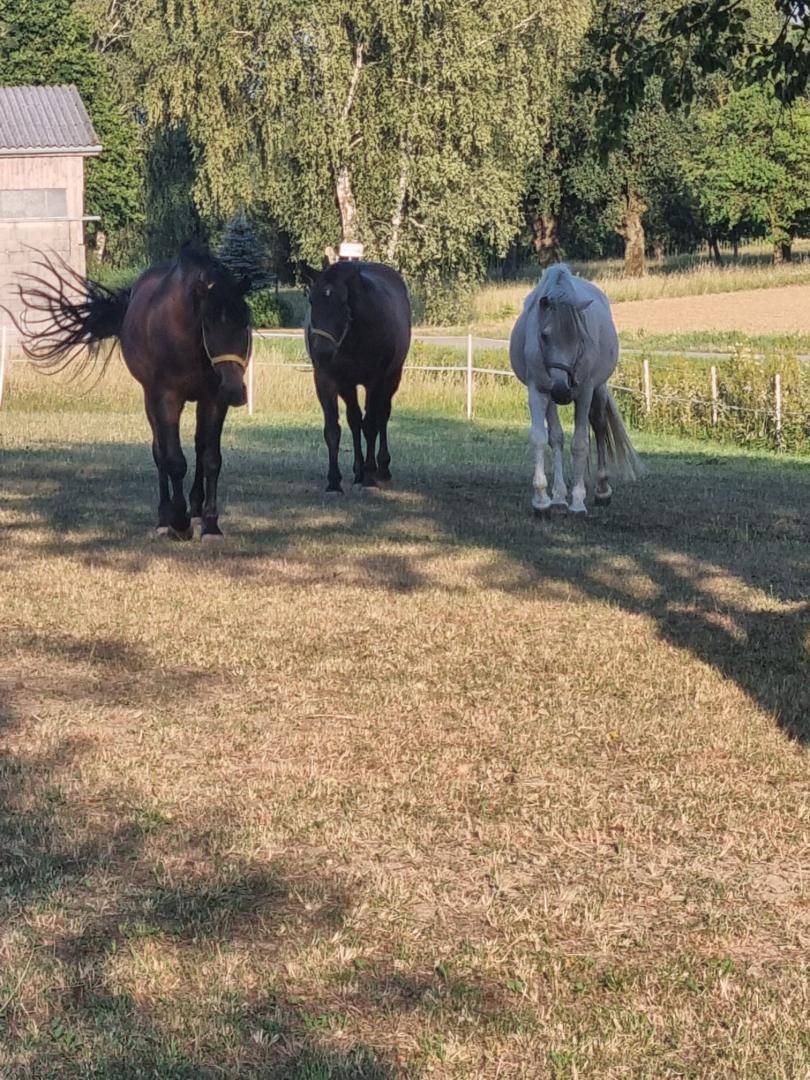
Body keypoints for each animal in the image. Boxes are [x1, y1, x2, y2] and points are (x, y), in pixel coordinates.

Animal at [13, 246, 252, 541]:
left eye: (245, 323)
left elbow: (210, 459)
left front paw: (210, 524)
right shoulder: (167, 398)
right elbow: (174, 460)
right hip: (151, 400)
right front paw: (179, 521)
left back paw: (195, 511)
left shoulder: (213, 400)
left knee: (198, 447)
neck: (187, 339)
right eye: (208, 324)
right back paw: (165, 519)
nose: (234, 390)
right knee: (160, 451)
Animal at [304, 259, 411, 492]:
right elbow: (333, 429)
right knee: (354, 420)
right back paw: (358, 471)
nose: (322, 351)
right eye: (311, 300)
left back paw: (381, 469)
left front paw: (370, 474)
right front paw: (334, 481)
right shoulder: (327, 380)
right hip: (349, 386)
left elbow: (370, 425)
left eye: (343, 303)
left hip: (392, 378)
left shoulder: (374, 381)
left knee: (381, 417)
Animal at [509, 263, 643, 514]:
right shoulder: (538, 390)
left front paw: (578, 501)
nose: (561, 389)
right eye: (544, 335)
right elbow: (542, 438)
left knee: (599, 429)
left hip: (598, 390)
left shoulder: (585, 393)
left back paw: (602, 490)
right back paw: (560, 495)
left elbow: (581, 443)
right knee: (557, 437)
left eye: (579, 337)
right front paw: (542, 499)